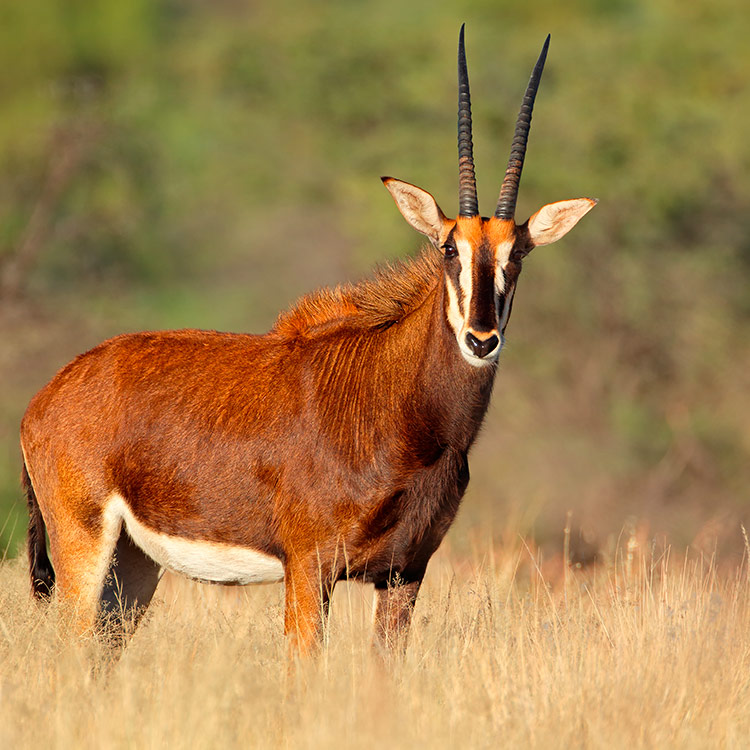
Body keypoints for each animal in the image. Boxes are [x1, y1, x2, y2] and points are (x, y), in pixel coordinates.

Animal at [22, 27, 600, 656]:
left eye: (518, 255)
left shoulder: (404, 572)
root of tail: (47, 396)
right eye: (450, 248)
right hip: (83, 543)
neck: (403, 411)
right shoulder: (309, 566)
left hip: (134, 562)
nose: (481, 339)